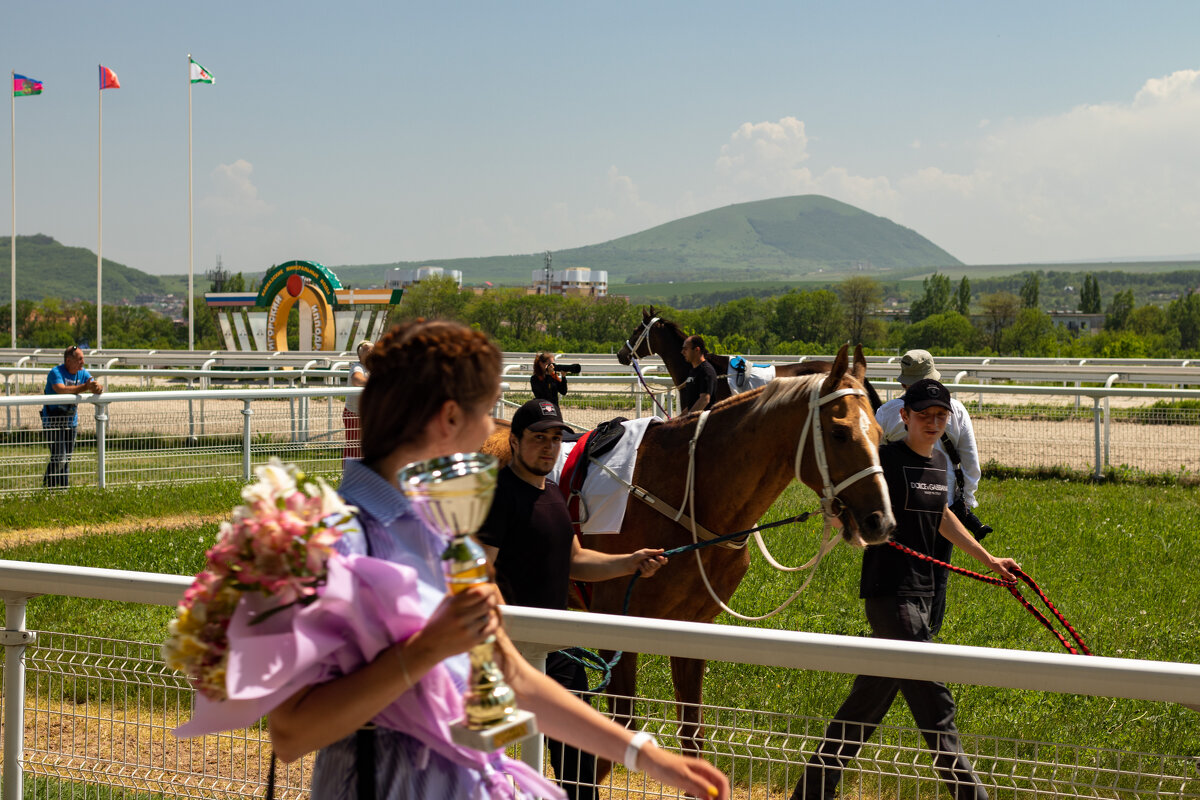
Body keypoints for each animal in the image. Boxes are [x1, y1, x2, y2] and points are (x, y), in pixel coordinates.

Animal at [482, 347, 897, 772]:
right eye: (839, 433)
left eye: (880, 435)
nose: (880, 520)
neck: (686, 489)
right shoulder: (615, 623)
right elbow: (616, 732)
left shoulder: (692, 627)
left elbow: (692, 734)